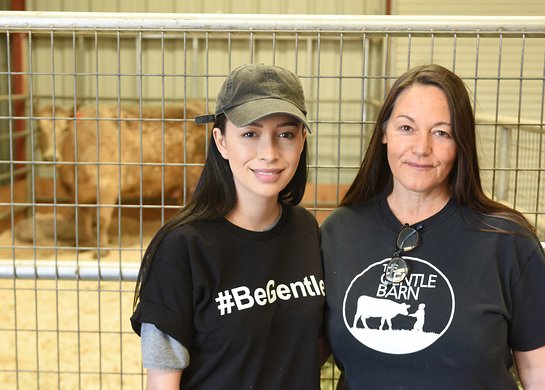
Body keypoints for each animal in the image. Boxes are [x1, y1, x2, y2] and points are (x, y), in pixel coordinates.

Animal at [34, 102, 207, 258]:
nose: (50, 157)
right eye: (39, 129)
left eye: (65, 129)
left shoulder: (107, 185)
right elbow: (83, 219)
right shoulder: (77, 192)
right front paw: (86, 245)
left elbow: (102, 219)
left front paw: (102, 250)